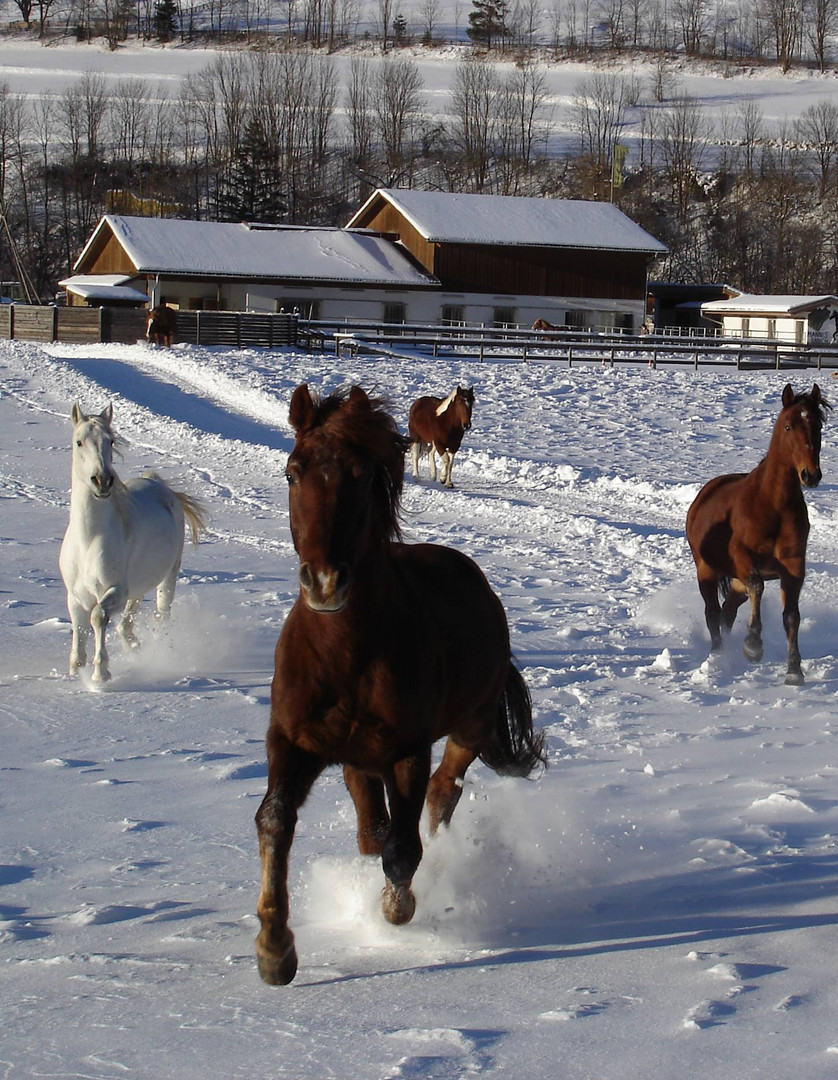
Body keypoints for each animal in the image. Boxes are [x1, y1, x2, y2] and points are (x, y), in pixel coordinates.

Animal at [59, 401, 207, 686]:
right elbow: (79, 630)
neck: (88, 541)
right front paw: (75, 672)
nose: (102, 481)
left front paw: (101, 674)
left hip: (167, 578)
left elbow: (98, 617)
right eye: (79, 442)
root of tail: (159, 484)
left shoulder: (115, 591)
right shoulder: (75, 596)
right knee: (127, 622)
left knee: (161, 615)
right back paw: (133, 644)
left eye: (111, 440)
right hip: (140, 585)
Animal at [253, 386, 544, 989]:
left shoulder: (408, 750)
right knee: (372, 819)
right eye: (293, 472)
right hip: (360, 759)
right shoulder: (291, 742)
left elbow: (403, 852)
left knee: (440, 794)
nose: (324, 582)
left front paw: (397, 906)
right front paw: (274, 947)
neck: (347, 653)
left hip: (467, 727)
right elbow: (275, 820)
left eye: (363, 477)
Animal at [682, 382, 829, 682]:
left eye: (818, 426)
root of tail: (704, 495)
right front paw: (752, 645)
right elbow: (758, 586)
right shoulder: (744, 559)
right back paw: (718, 655)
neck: (772, 506)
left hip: (735, 584)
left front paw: (794, 670)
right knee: (713, 612)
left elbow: (791, 616)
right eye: (788, 426)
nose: (810, 475)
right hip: (706, 571)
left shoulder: (794, 568)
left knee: (727, 611)